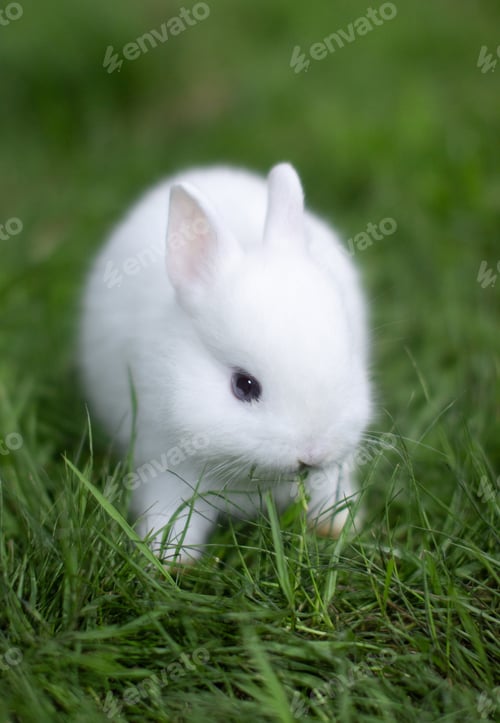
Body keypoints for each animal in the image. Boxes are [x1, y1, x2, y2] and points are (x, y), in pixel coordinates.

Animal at [79, 162, 372, 563]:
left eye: (347, 358)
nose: (312, 454)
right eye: (243, 386)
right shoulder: (166, 466)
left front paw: (337, 528)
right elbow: (172, 512)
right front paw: (171, 560)